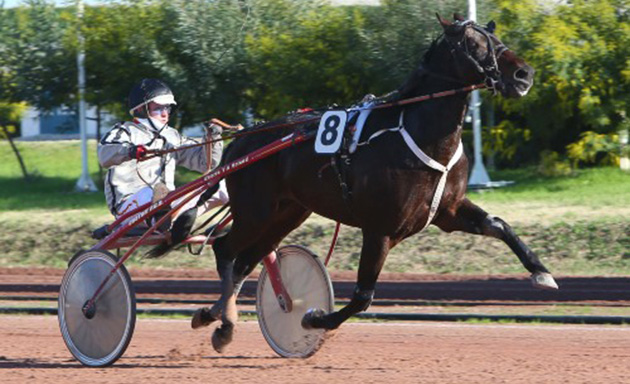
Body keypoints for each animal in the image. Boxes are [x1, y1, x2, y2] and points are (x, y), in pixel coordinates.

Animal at [193, 14, 556, 352]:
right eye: (473, 43)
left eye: (496, 37)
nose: (524, 74)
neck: (419, 134)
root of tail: (242, 140)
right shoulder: (380, 228)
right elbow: (362, 297)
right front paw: (313, 317)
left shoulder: (448, 212)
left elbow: (499, 224)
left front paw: (541, 272)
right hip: (256, 211)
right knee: (226, 250)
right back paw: (224, 324)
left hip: (287, 213)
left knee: (246, 260)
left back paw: (214, 316)